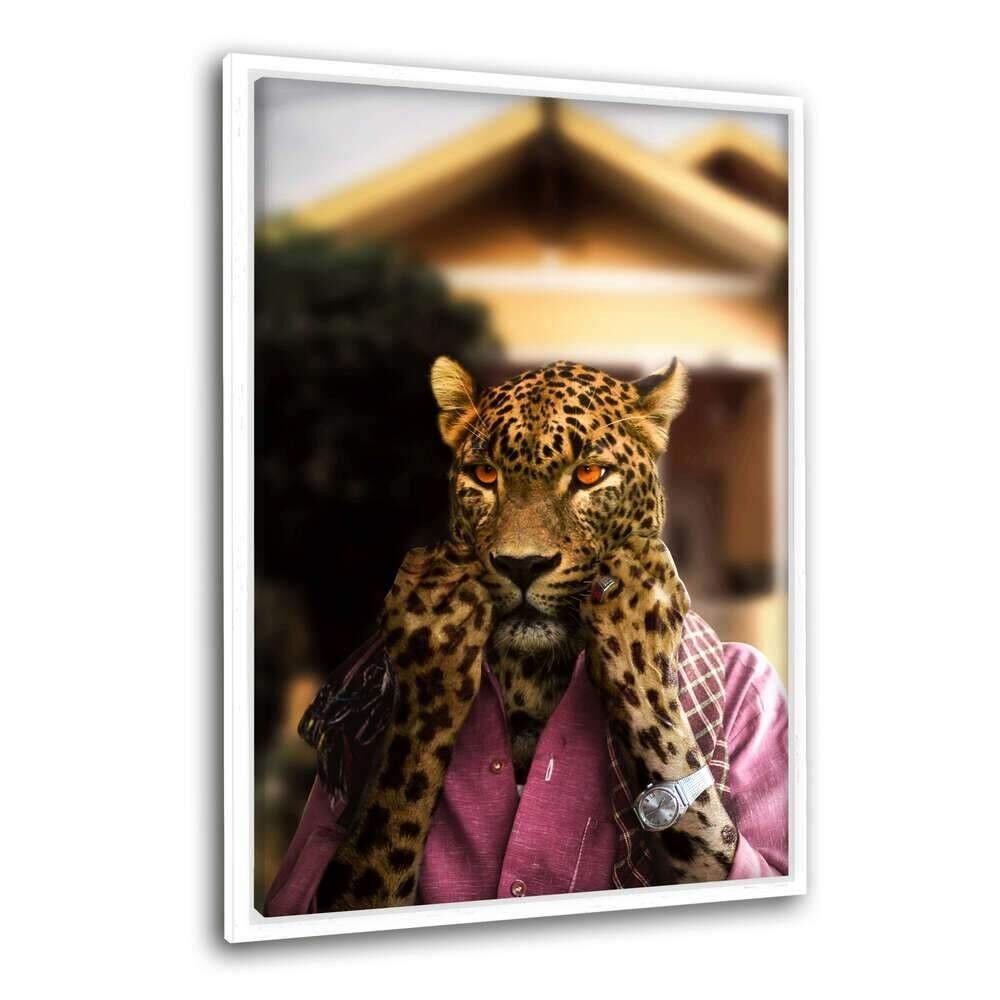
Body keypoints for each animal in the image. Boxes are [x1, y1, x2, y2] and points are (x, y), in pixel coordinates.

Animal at [322, 358, 737, 910]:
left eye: (588, 473)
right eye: (484, 474)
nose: (522, 565)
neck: (532, 677)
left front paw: (636, 616)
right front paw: (434, 617)